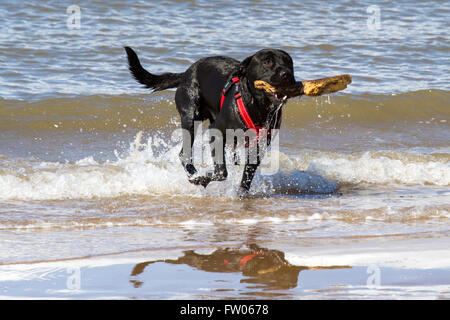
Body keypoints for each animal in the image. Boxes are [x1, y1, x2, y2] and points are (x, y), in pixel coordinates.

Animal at [125, 46, 298, 194]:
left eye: (289, 62)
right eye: (267, 61)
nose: (287, 74)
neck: (258, 106)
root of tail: (186, 72)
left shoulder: (260, 145)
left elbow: (247, 174)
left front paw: (241, 193)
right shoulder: (217, 132)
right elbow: (221, 172)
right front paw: (201, 179)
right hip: (190, 117)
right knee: (183, 154)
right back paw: (193, 175)